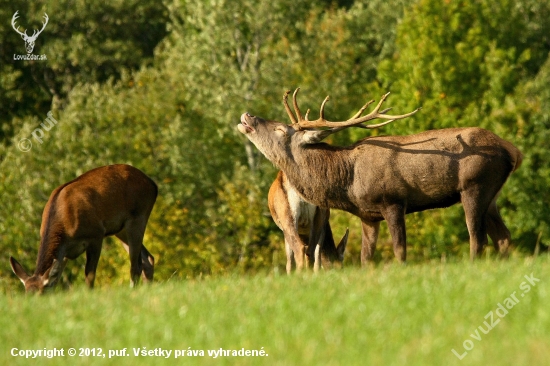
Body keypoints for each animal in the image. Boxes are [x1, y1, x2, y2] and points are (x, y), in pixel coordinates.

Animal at [9, 164, 158, 294]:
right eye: (27, 295)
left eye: (41, 293)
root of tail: (153, 185)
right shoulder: (64, 253)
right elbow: (56, 278)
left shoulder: (97, 234)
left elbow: (89, 274)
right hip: (120, 230)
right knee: (148, 259)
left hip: (138, 217)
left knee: (136, 265)